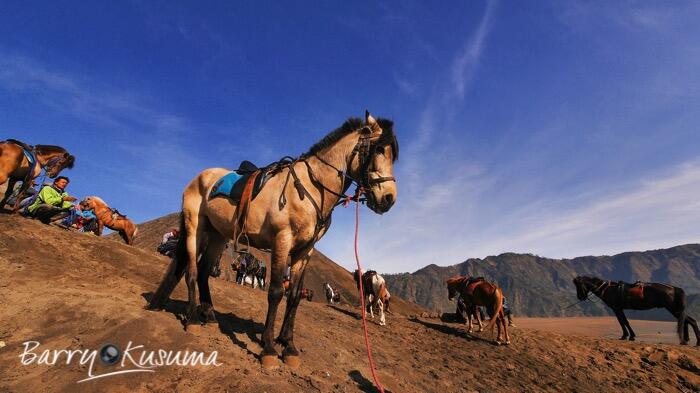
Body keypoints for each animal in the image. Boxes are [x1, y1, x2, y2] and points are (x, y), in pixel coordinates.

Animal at [146, 111, 400, 368]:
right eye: (379, 150)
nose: (389, 199)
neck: (311, 188)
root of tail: (199, 178)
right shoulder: (282, 241)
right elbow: (276, 292)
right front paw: (268, 347)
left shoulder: (305, 251)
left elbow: (295, 296)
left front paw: (289, 346)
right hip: (194, 228)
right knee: (192, 271)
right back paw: (193, 320)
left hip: (218, 235)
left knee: (204, 271)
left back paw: (209, 315)